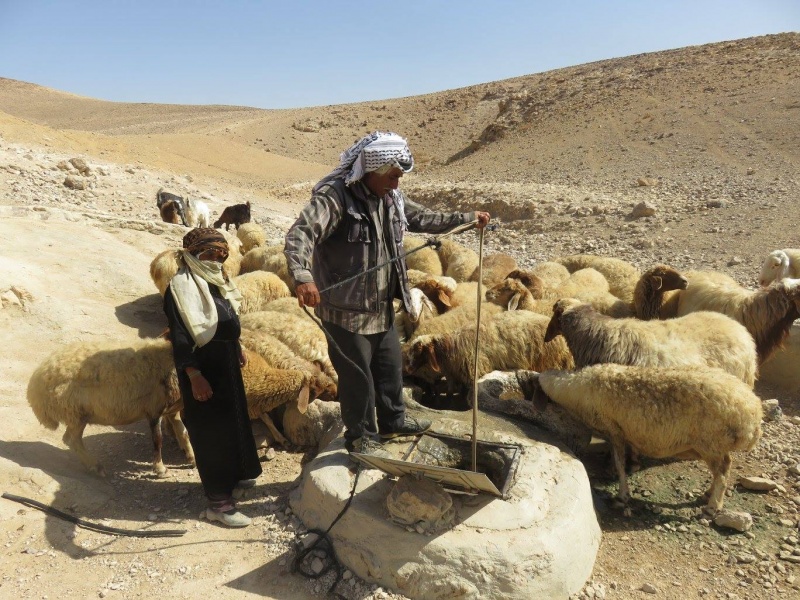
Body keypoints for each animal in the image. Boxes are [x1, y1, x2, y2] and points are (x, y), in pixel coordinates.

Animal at [25, 340, 195, 476]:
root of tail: (35, 383)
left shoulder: (172, 411)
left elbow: (184, 432)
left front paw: (192, 458)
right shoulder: (154, 409)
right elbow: (158, 440)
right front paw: (160, 469)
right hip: (75, 412)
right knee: (71, 439)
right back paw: (96, 467)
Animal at [524, 364, 764, 512]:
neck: (575, 389)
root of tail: (753, 413)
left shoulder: (615, 430)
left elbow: (619, 463)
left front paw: (623, 494)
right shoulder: (625, 433)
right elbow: (627, 457)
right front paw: (633, 466)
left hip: (711, 442)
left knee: (723, 471)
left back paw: (713, 506)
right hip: (712, 446)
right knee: (721, 469)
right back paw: (708, 494)